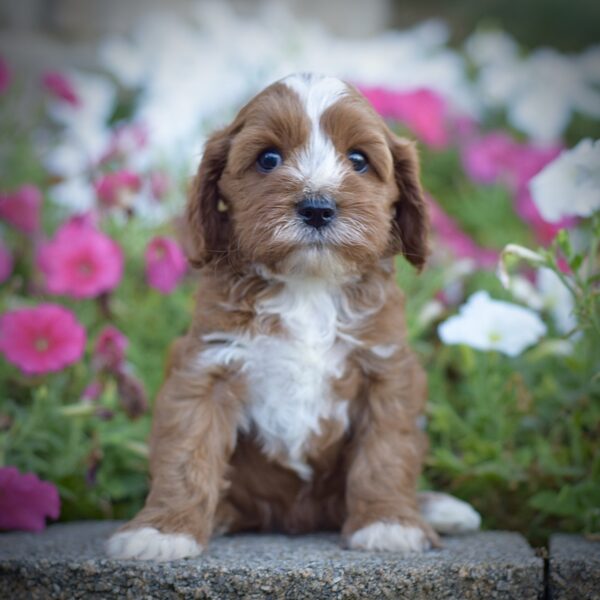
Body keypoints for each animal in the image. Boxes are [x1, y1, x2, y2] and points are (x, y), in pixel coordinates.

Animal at [105, 72, 478, 560]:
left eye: (358, 160)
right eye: (268, 158)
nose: (317, 207)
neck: (309, 287)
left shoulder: (387, 370)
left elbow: (387, 452)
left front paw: (388, 522)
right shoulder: (206, 366)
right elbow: (186, 451)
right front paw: (163, 530)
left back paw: (435, 508)